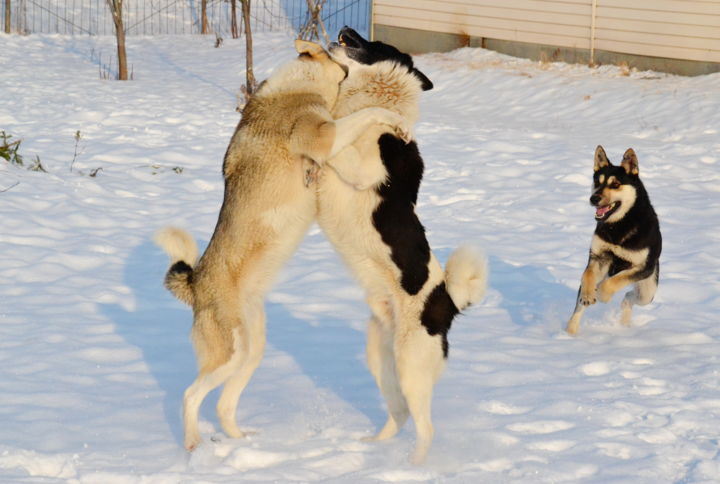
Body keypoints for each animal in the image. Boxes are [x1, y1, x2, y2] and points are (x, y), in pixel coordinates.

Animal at [153, 39, 410, 452]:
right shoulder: (324, 134)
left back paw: (242, 442)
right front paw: (392, 119)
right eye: (335, 50)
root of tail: (194, 286)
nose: (340, 38)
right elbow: (369, 112)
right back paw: (194, 445)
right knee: (191, 396)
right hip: (230, 354)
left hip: (251, 351)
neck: (301, 85)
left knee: (224, 404)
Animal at [318, 27, 486, 466]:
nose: (347, 30)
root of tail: (448, 301)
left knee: (425, 427)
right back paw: (374, 450)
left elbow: (338, 135)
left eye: (375, 43)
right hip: (382, 358)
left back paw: (414, 467)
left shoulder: (363, 167)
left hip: (411, 365)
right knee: (400, 415)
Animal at [564, 146, 660, 334]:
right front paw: (590, 294)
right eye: (597, 182)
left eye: (615, 185)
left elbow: (616, 280)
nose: (593, 199)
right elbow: (587, 274)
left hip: (647, 290)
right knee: (579, 306)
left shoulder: (643, 267)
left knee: (629, 296)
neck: (619, 225)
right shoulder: (599, 256)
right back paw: (569, 333)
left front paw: (602, 294)